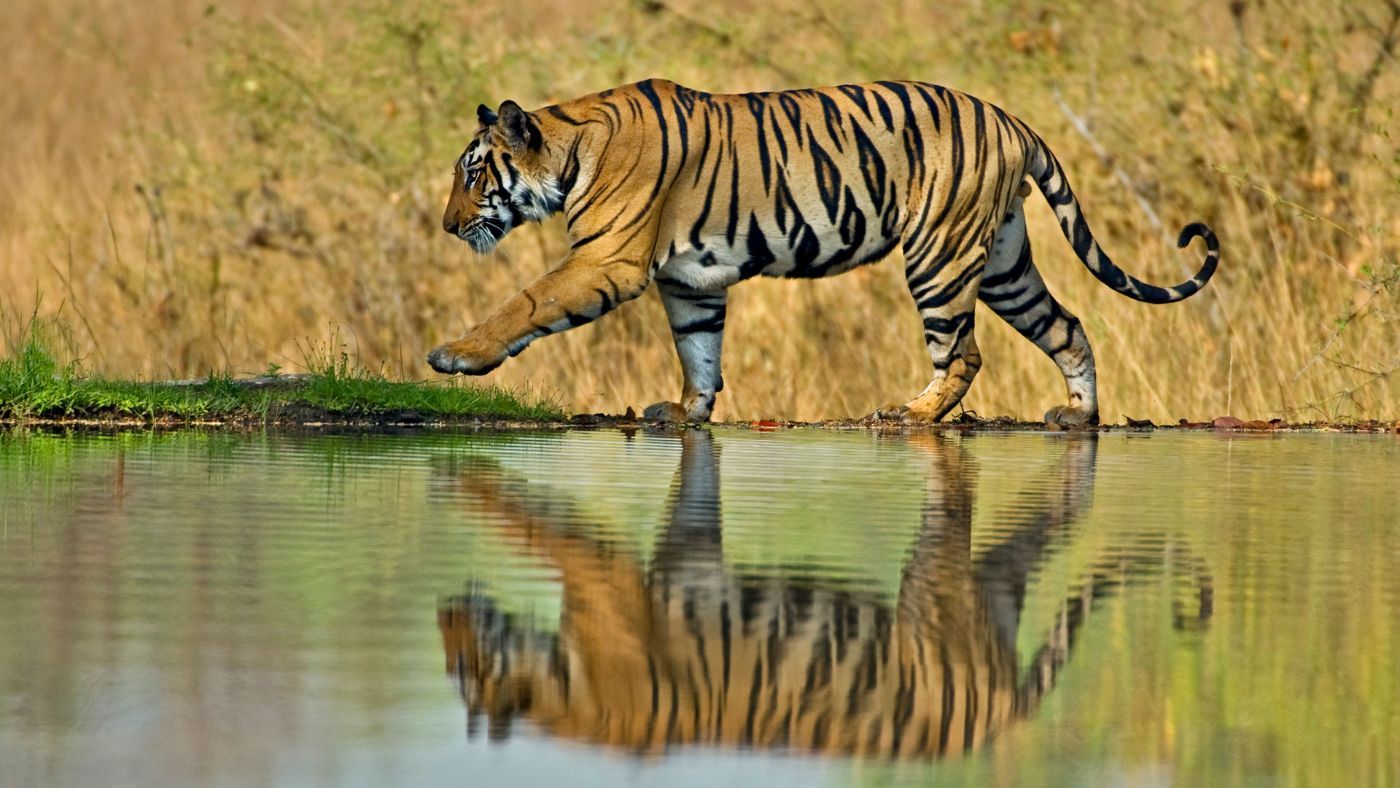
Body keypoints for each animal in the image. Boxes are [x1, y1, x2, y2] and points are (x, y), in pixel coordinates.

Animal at [427, 79, 1220, 425]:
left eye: (473, 174)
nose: (446, 225)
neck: (569, 147)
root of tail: (1011, 118)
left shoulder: (607, 262)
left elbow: (527, 301)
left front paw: (457, 355)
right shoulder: (692, 281)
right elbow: (699, 351)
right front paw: (685, 411)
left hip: (938, 257)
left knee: (964, 353)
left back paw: (910, 414)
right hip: (1002, 262)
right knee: (1067, 326)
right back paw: (1078, 417)